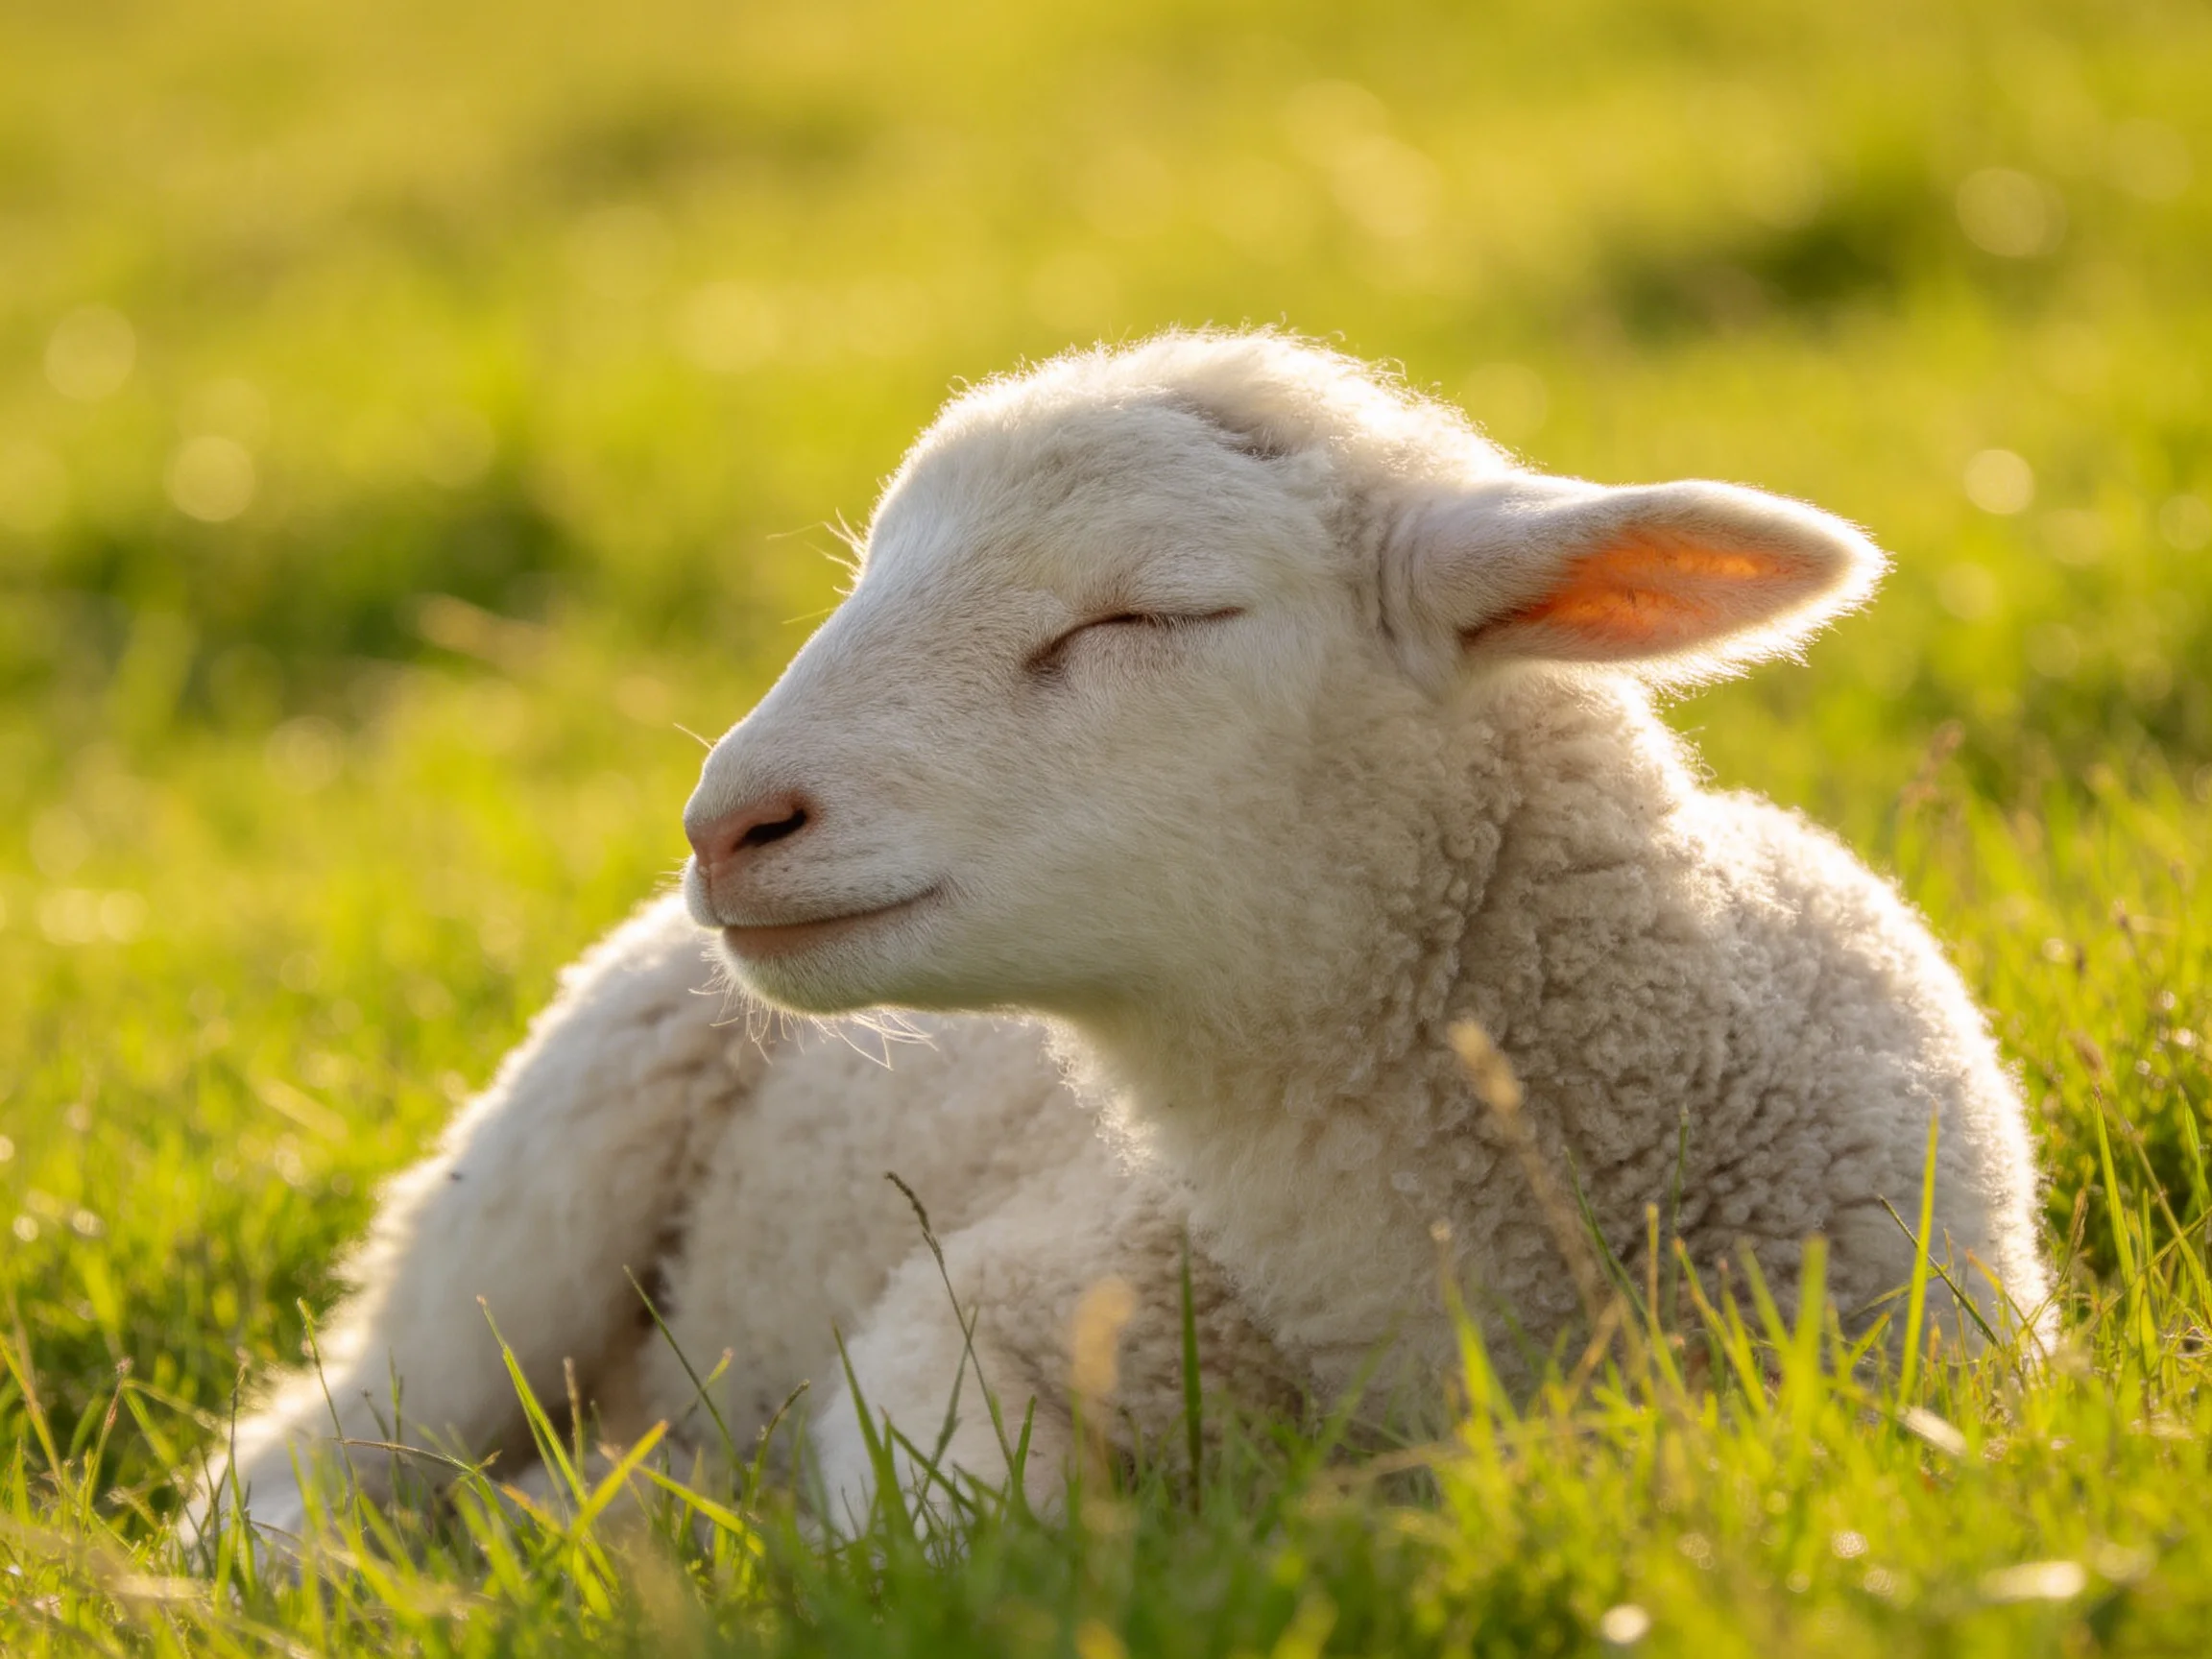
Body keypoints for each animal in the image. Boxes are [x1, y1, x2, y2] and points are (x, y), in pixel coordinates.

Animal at [196, 329, 2049, 1543]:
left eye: (1148, 612)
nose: (730, 823)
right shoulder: (982, 1307)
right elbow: (967, 1531)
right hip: (516, 1218)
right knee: (298, 1465)